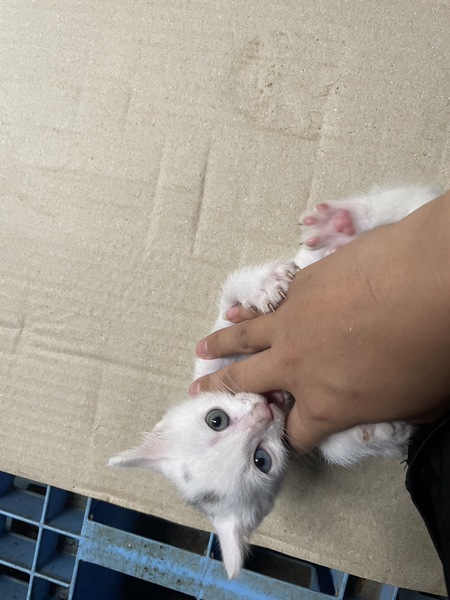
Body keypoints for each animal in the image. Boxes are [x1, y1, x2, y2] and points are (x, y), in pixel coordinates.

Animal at [109, 184, 443, 579]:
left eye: (215, 419)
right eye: (262, 460)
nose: (263, 412)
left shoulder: (214, 348)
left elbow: (231, 294)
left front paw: (263, 287)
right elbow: (336, 448)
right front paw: (379, 434)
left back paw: (343, 223)